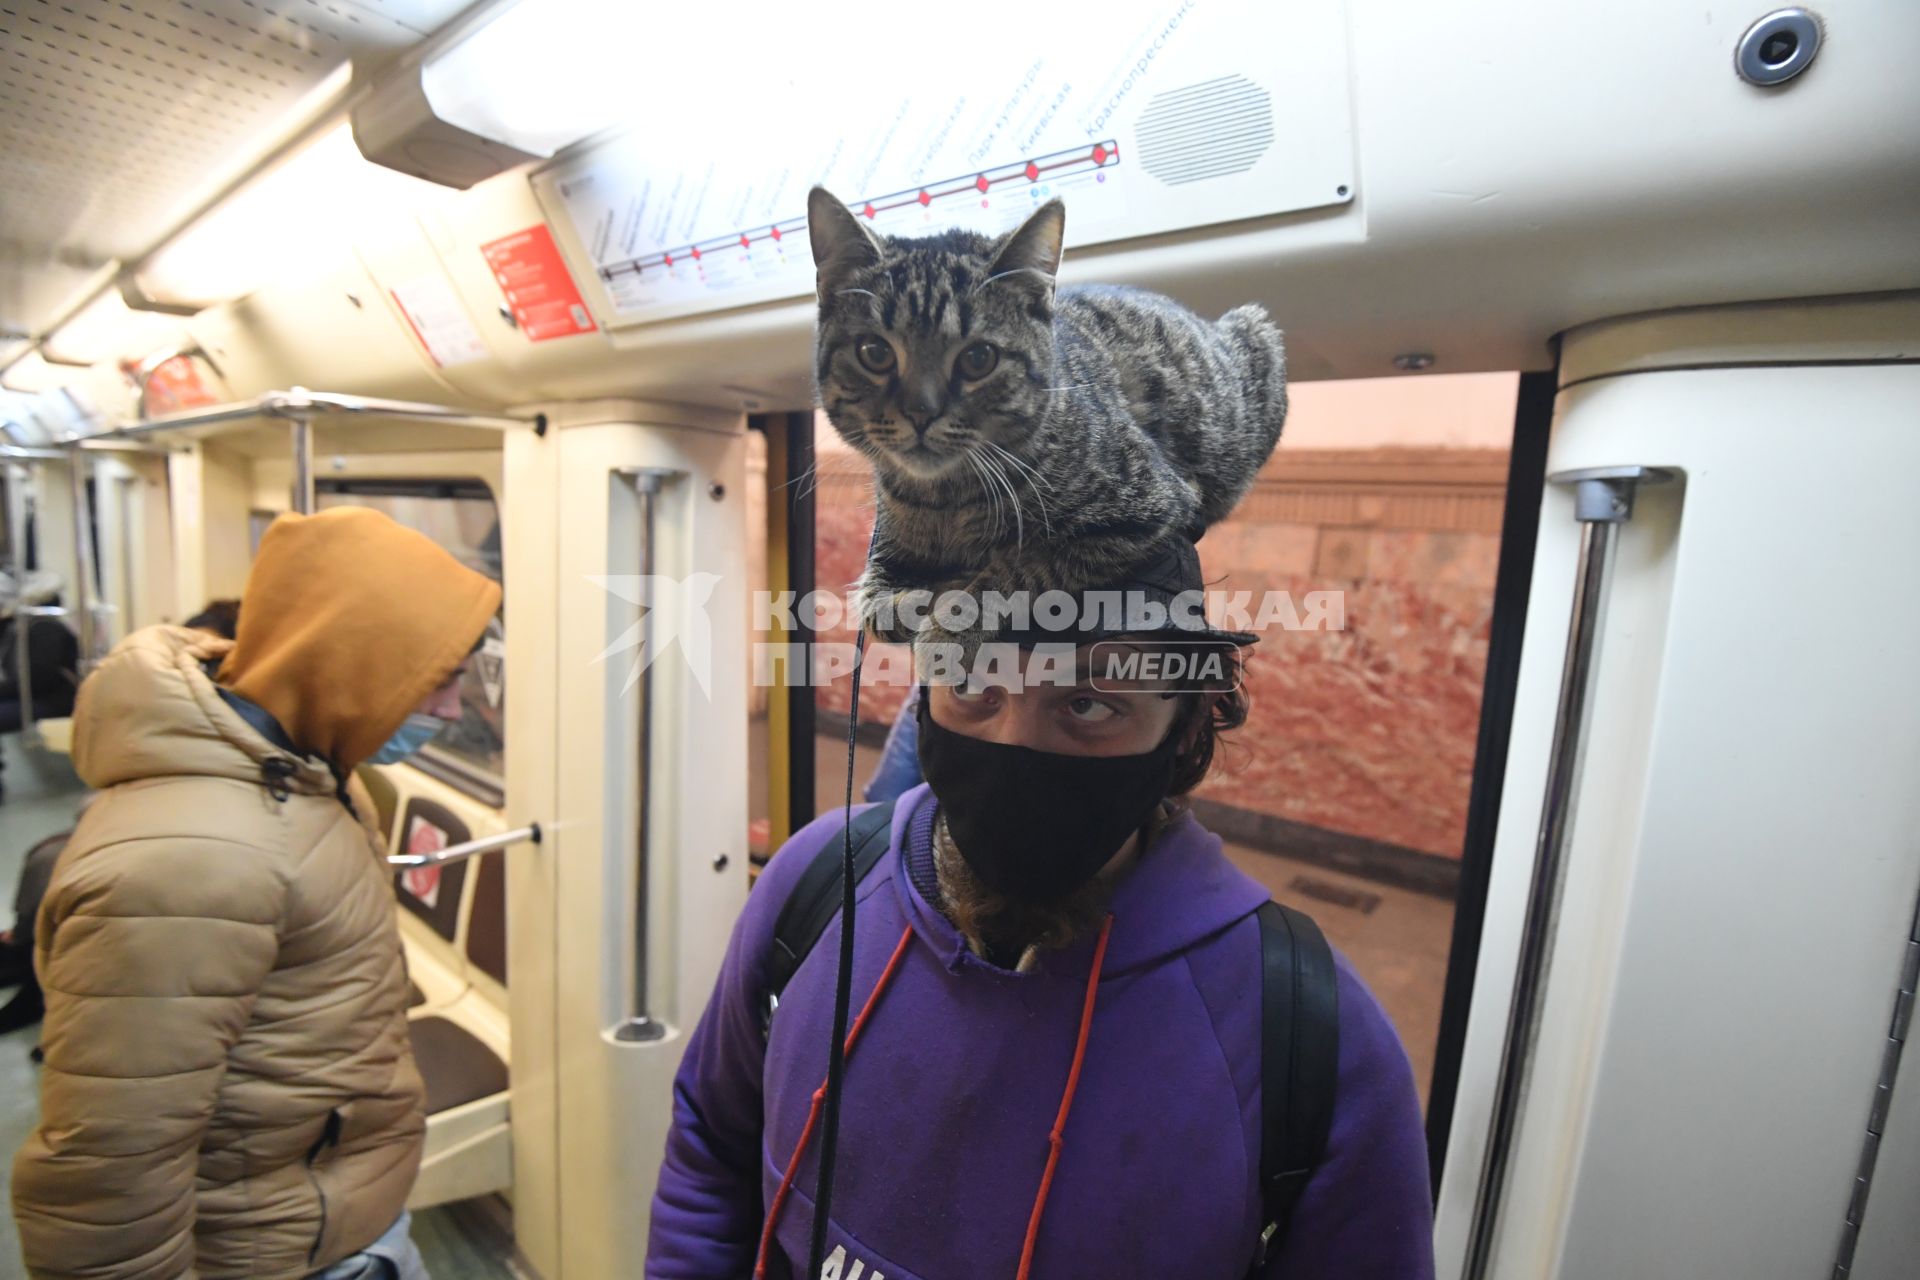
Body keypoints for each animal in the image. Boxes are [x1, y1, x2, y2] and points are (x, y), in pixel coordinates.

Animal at [802, 182, 1282, 652]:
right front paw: (904, 600)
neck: (944, 499)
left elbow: (1018, 570)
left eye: (979, 358)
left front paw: (951, 624)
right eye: (875, 352)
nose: (922, 412)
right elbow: (873, 596)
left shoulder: (1138, 514)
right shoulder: (884, 537)